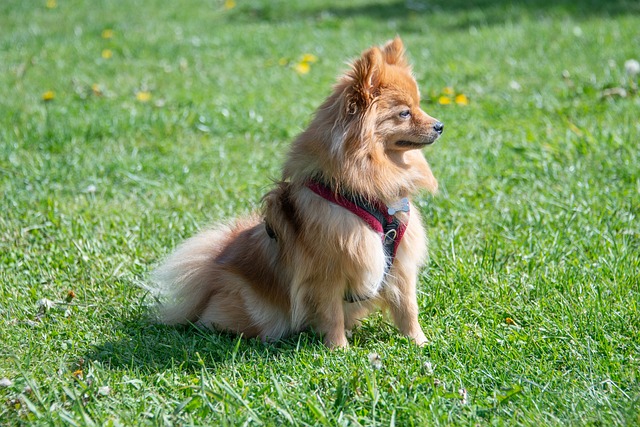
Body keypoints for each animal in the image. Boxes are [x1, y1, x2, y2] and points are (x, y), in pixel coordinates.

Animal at [154, 37, 442, 348]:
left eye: (420, 106)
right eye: (405, 112)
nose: (440, 125)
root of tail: (211, 274)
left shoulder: (399, 265)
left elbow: (408, 309)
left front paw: (420, 343)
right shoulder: (327, 271)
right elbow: (331, 313)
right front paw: (339, 348)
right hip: (259, 312)